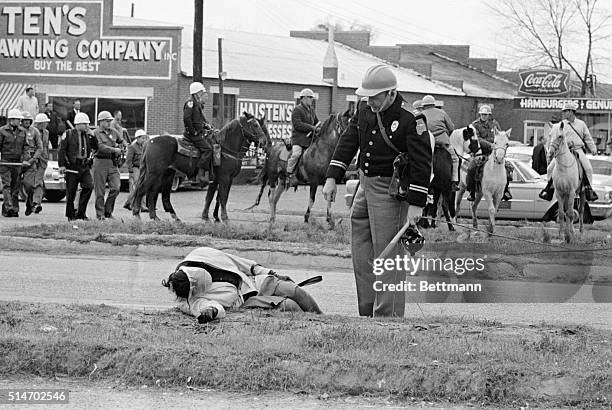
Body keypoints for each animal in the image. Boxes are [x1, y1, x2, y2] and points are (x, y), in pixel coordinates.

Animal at [133, 112, 266, 221]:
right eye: (255, 125)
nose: (264, 141)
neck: (225, 148)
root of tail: (149, 142)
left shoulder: (218, 179)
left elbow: (212, 197)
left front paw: (209, 217)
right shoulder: (225, 178)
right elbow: (223, 197)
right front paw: (224, 218)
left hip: (166, 174)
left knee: (155, 193)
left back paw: (160, 217)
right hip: (154, 173)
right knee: (142, 190)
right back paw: (137, 215)